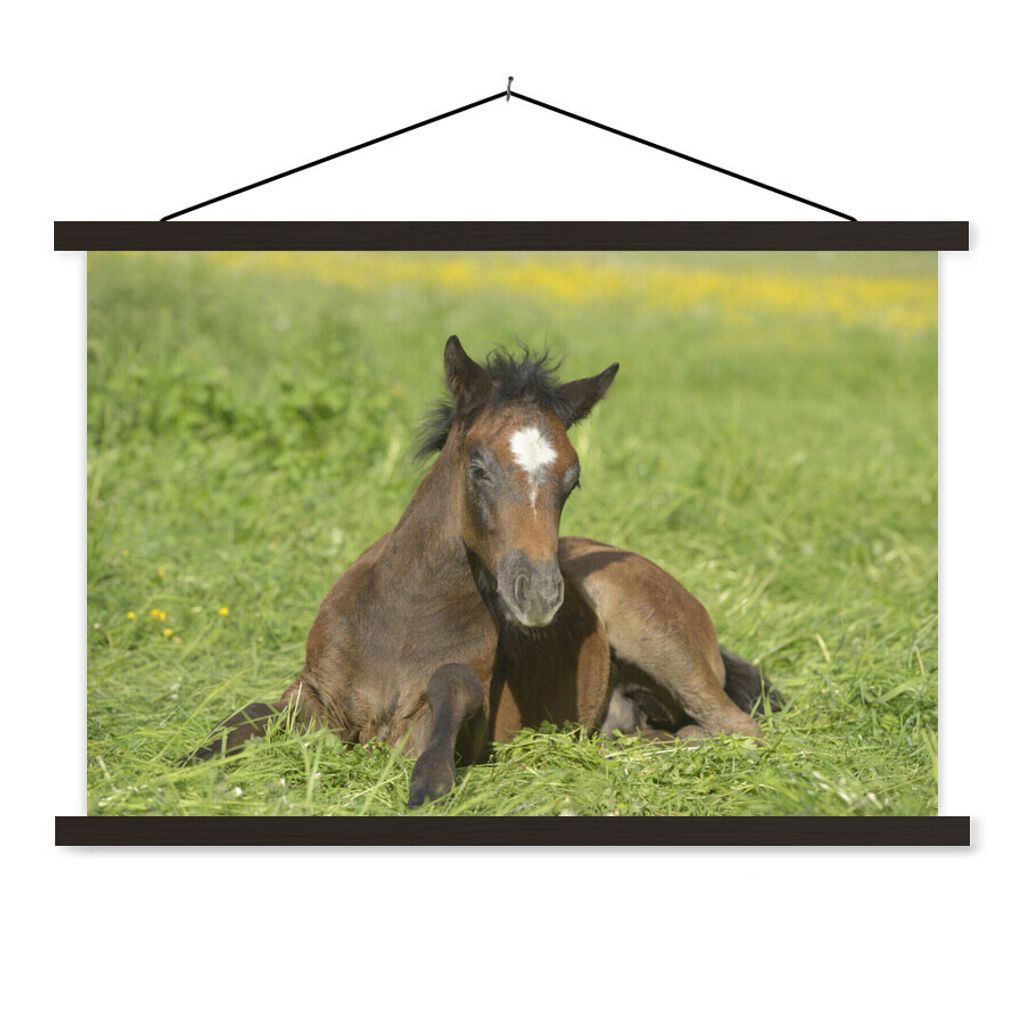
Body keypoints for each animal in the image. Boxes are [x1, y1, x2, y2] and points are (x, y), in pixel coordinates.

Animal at [187, 336, 781, 806]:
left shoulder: (434, 728)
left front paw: (430, 783)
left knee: (737, 727)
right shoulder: (316, 695)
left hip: (655, 636)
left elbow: (452, 688)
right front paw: (190, 763)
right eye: (478, 468)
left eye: (572, 480)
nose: (539, 596)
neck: (404, 614)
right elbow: (249, 713)